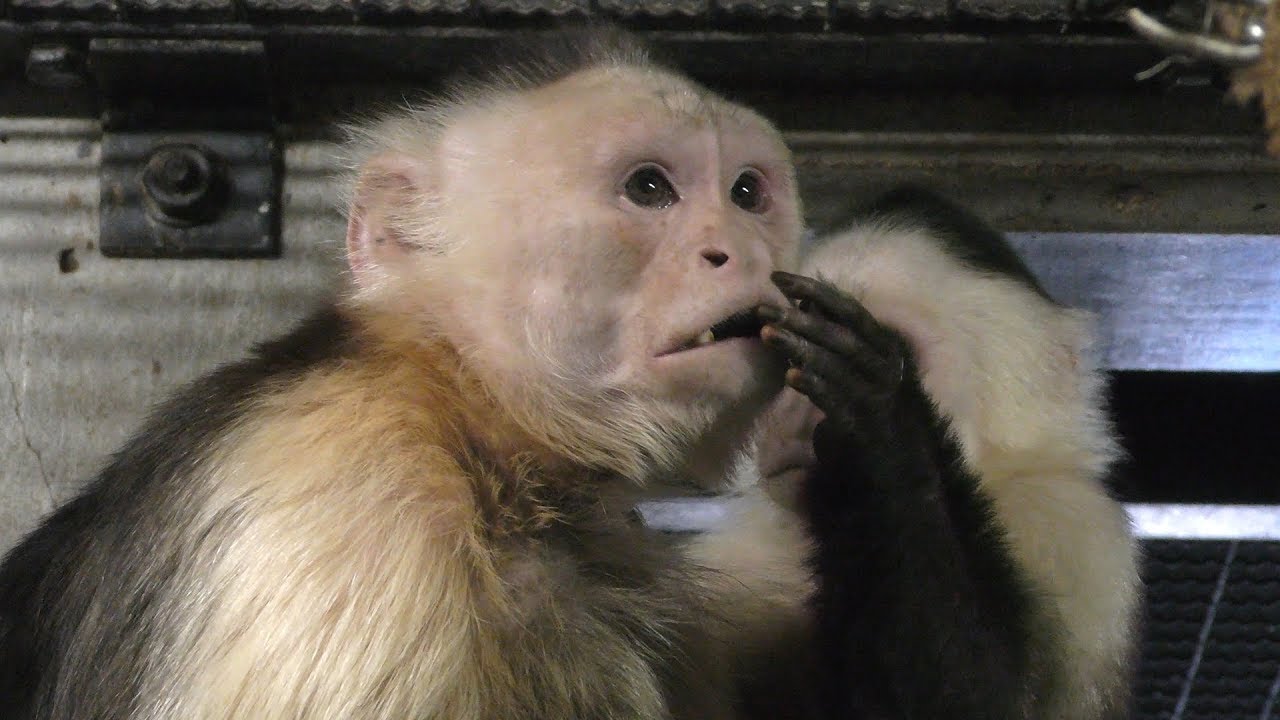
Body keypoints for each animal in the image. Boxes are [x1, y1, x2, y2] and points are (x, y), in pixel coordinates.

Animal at [0, 28, 1141, 717]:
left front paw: (876, 442)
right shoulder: (340, 517)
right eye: (649, 189)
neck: (481, 421)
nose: (736, 248)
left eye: (746, 192)